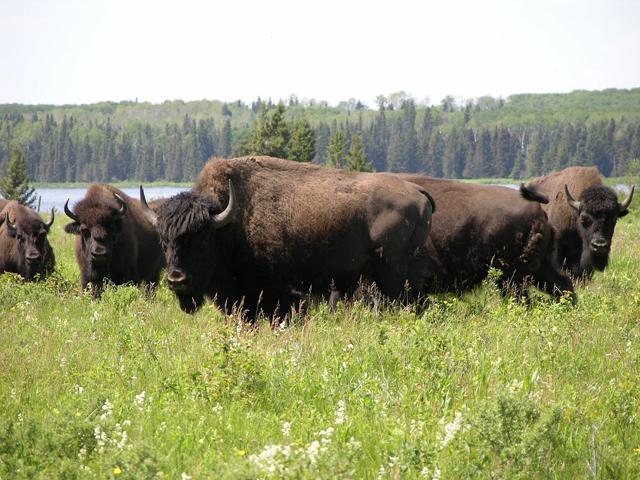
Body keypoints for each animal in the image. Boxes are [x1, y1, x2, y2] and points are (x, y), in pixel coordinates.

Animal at [142, 156, 438, 316]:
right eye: (163, 241)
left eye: (202, 240)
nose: (177, 280)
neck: (228, 222)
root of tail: (417, 191)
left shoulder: (280, 296)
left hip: (395, 278)